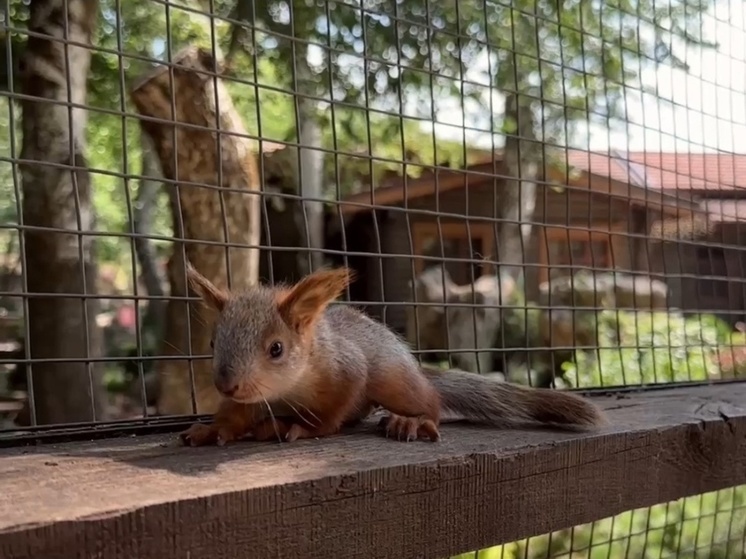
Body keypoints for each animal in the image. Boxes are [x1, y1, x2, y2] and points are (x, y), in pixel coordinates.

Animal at [179, 264, 604, 448]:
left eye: (276, 349)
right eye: (213, 343)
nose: (226, 384)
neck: (285, 392)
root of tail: (416, 369)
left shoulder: (346, 369)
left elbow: (331, 412)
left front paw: (303, 427)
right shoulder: (249, 400)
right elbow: (234, 416)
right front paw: (213, 429)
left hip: (394, 379)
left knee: (429, 403)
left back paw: (409, 421)